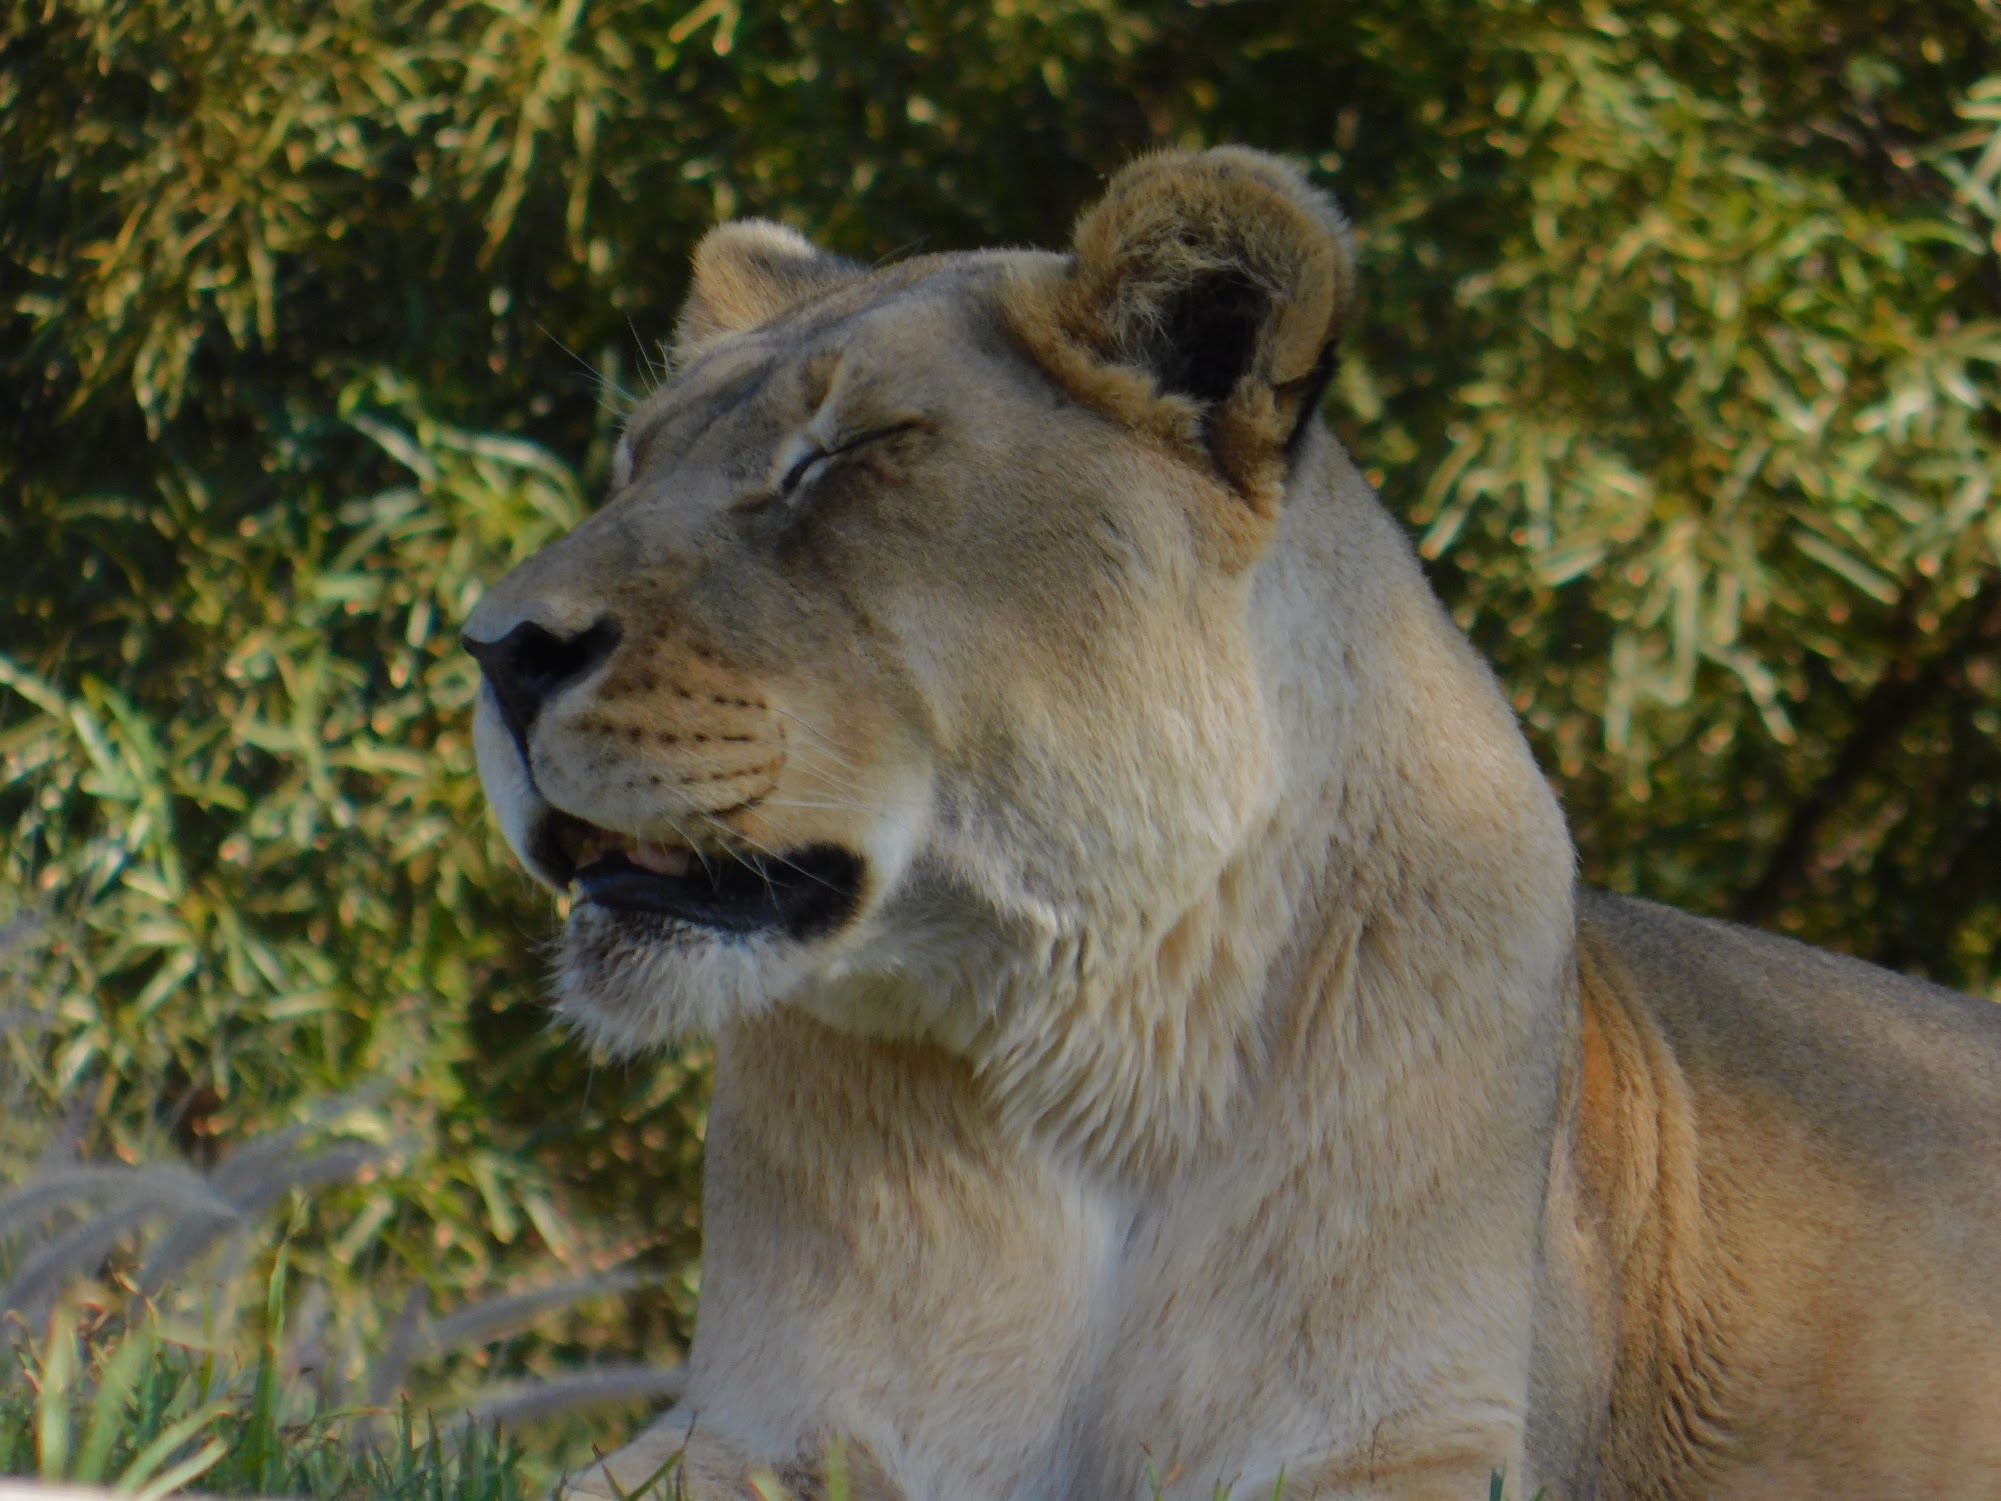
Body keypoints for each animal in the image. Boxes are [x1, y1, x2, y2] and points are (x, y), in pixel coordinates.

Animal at [463, 148, 2001, 1499]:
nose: (492, 648)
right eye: (633, 464)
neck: (1092, 1065)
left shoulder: (1412, 1440)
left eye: (840, 456)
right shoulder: (751, 1423)